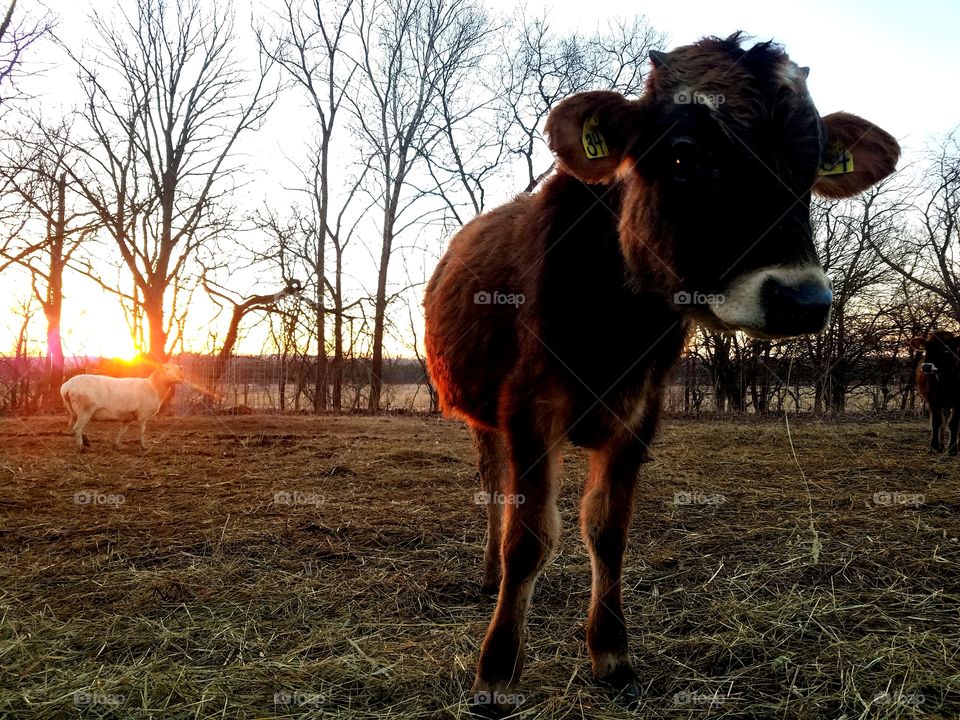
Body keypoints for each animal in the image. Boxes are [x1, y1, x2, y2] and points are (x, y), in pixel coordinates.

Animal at [423, 33, 900, 716]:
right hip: (480, 411)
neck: (616, 327)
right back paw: (489, 572)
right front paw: (496, 670)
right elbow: (529, 538)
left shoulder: (640, 414)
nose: (802, 300)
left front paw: (610, 654)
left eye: (811, 166)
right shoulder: (528, 409)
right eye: (682, 155)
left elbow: (607, 530)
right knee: (494, 487)